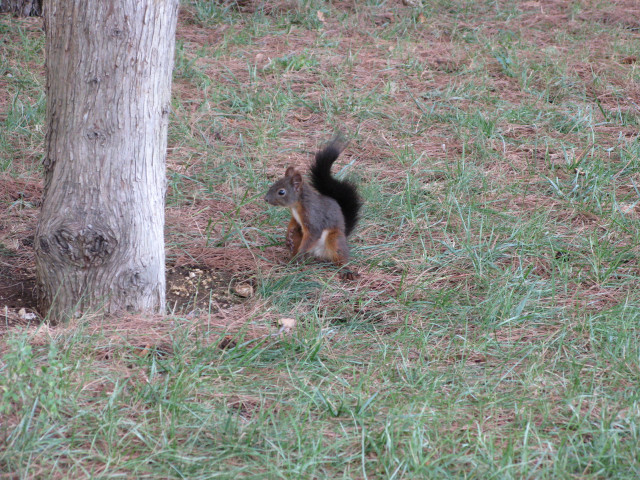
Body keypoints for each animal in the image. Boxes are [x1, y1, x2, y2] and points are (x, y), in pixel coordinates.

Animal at [264, 139, 362, 279]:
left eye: (281, 192)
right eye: (273, 185)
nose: (265, 199)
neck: (297, 205)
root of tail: (318, 255)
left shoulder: (313, 216)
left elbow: (313, 233)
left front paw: (300, 251)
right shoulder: (296, 217)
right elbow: (293, 223)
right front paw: (288, 236)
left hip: (335, 239)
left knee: (340, 257)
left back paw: (345, 270)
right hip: (301, 237)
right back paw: (291, 260)